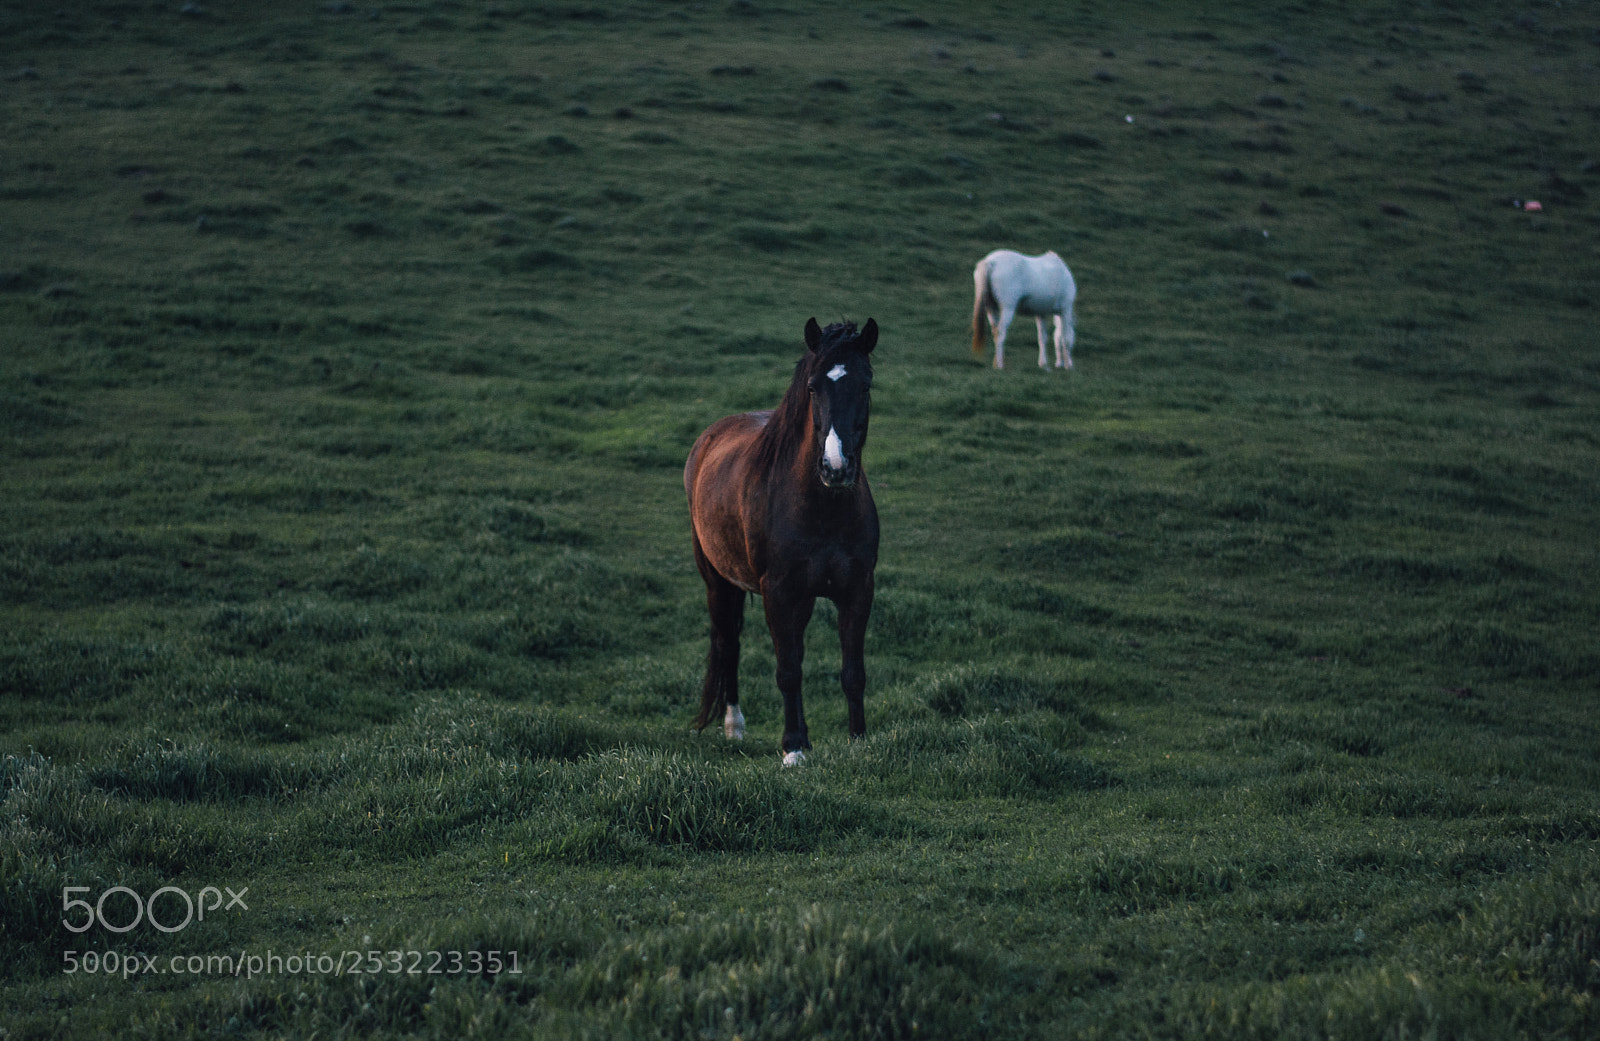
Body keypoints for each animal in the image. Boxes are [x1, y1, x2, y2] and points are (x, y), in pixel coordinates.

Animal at [684, 318, 880, 766]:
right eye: (812, 387)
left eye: (865, 384)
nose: (836, 467)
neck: (821, 508)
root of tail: (709, 438)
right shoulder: (779, 593)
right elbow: (788, 671)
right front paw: (793, 748)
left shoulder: (857, 589)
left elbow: (852, 672)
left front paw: (858, 741)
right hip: (717, 582)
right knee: (729, 644)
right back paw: (734, 726)